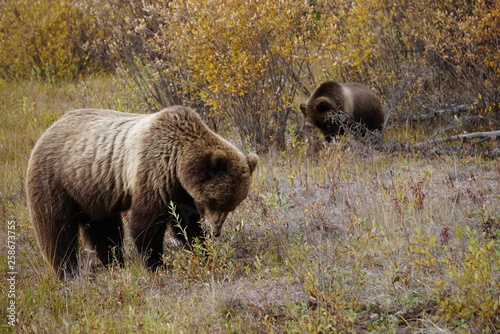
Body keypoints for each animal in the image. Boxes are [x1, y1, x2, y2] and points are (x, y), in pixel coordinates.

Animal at [25, 105, 258, 278]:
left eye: (232, 206)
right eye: (217, 202)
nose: (216, 231)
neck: (179, 163)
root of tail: (47, 131)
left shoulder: (178, 188)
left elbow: (185, 222)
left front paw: (203, 252)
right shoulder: (155, 170)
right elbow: (146, 223)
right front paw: (157, 265)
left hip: (93, 191)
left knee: (105, 230)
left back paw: (115, 264)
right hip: (56, 181)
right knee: (57, 229)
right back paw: (68, 272)